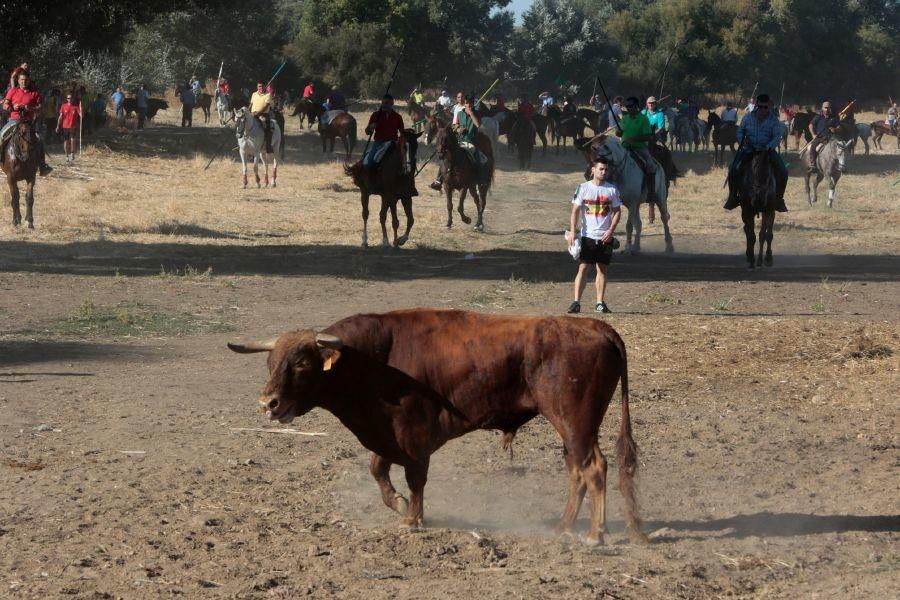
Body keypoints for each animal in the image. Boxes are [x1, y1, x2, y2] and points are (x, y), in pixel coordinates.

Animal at [229, 308, 644, 548]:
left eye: (301, 362)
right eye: (271, 361)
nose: (268, 404)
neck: (373, 360)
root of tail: (598, 328)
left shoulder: (414, 436)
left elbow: (415, 478)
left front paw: (412, 518)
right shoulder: (385, 433)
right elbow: (378, 469)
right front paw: (398, 504)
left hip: (574, 424)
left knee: (592, 468)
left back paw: (595, 534)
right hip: (573, 429)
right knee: (577, 470)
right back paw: (563, 527)